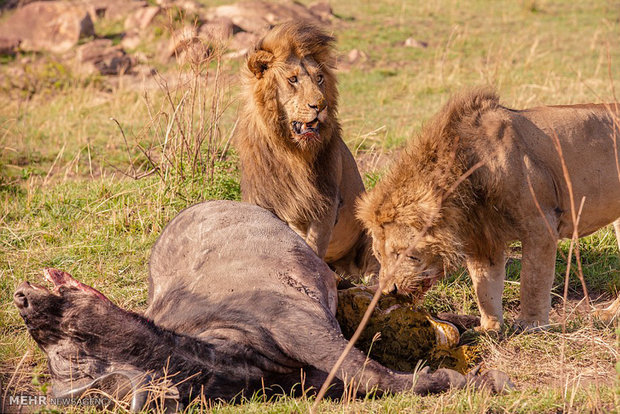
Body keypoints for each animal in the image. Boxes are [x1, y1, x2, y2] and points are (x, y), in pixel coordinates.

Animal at [234, 21, 376, 282]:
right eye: (293, 79)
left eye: (319, 78)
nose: (320, 105)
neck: (289, 152)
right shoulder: (263, 202)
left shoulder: (326, 205)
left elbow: (312, 249)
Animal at [356, 89, 620, 332]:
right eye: (378, 255)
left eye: (407, 255)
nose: (389, 291)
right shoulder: (483, 237)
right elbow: (484, 287)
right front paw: (489, 328)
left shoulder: (540, 224)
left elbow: (533, 280)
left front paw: (530, 324)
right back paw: (609, 315)